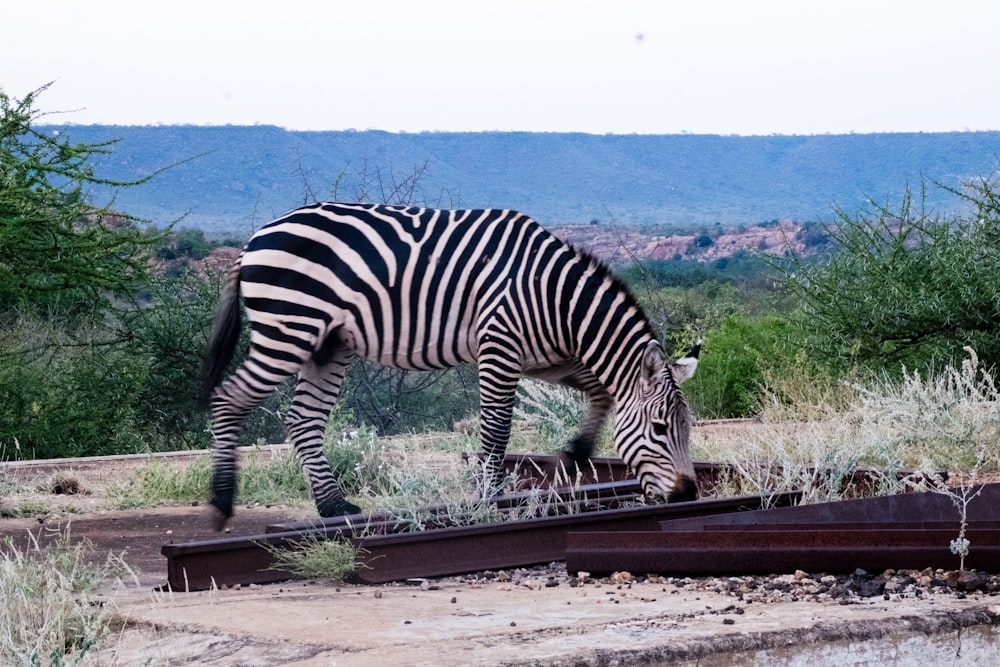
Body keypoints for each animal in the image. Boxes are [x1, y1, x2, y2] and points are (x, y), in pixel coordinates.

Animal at [201, 201, 704, 528]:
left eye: (687, 428)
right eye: (661, 428)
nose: (688, 494)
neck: (557, 300)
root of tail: (252, 242)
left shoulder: (548, 360)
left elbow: (601, 390)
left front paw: (576, 452)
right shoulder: (500, 347)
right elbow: (497, 429)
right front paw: (490, 500)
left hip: (328, 343)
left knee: (303, 419)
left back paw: (333, 507)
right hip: (289, 329)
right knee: (228, 398)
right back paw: (222, 502)